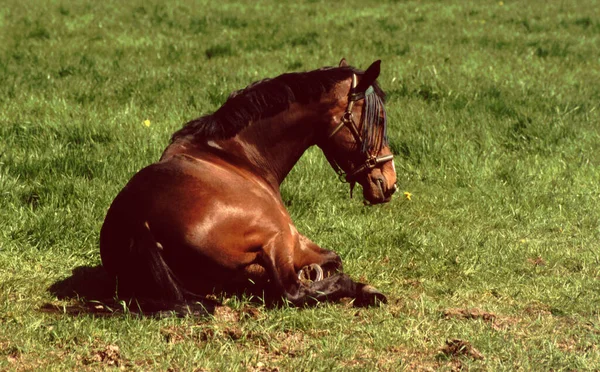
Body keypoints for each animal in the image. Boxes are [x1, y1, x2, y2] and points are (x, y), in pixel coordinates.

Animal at [100, 58, 396, 308]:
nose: (390, 183)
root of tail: (138, 218)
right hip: (277, 237)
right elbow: (334, 259)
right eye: (379, 119)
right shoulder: (293, 239)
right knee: (291, 291)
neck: (235, 153)